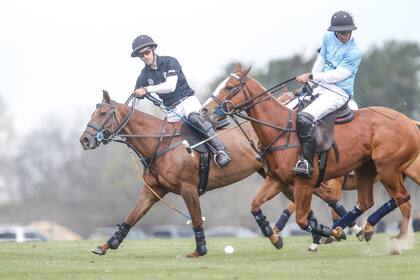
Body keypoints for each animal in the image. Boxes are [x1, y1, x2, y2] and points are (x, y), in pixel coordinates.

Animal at [201, 64, 420, 247]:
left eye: (229, 86)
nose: (204, 110)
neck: (282, 129)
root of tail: (410, 122)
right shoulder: (277, 179)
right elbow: (255, 205)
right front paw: (275, 237)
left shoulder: (306, 182)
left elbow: (301, 218)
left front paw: (325, 234)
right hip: (368, 169)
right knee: (373, 201)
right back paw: (365, 230)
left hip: (388, 168)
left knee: (403, 197)